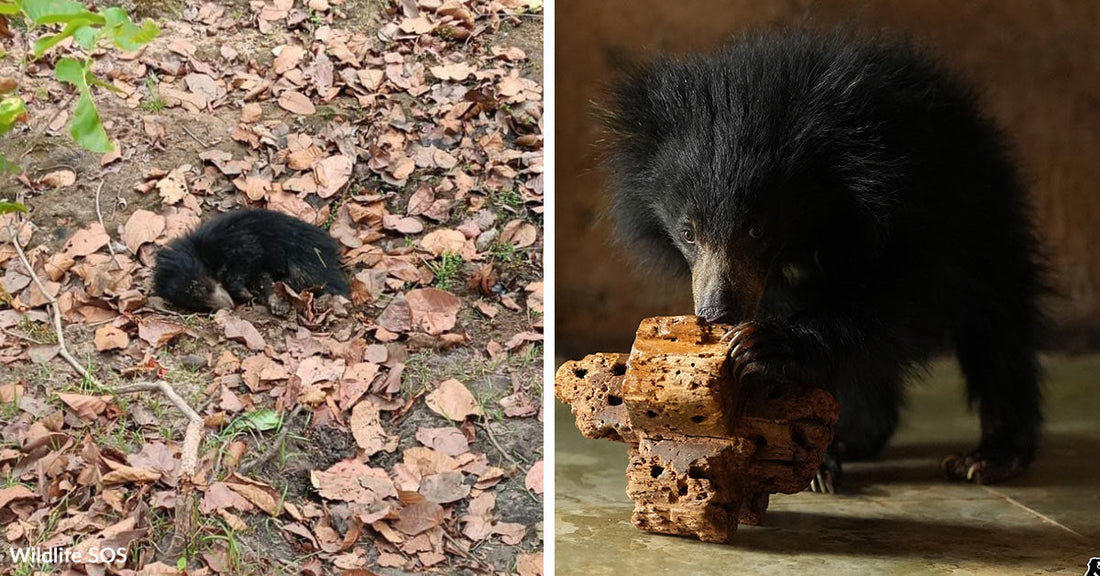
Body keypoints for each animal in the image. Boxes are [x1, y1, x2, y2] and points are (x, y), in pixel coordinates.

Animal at [153, 208, 349, 313]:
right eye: (198, 305)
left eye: (205, 287)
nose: (228, 306)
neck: (201, 252)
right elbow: (260, 276)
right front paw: (267, 299)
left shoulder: (235, 242)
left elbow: (246, 259)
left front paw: (246, 293)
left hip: (307, 255)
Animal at [600, 30, 1047, 492]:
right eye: (688, 233)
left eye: (756, 230)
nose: (718, 313)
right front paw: (815, 459)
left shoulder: (912, 201)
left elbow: (906, 290)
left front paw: (762, 344)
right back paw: (854, 437)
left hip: (984, 207)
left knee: (996, 321)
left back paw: (991, 457)